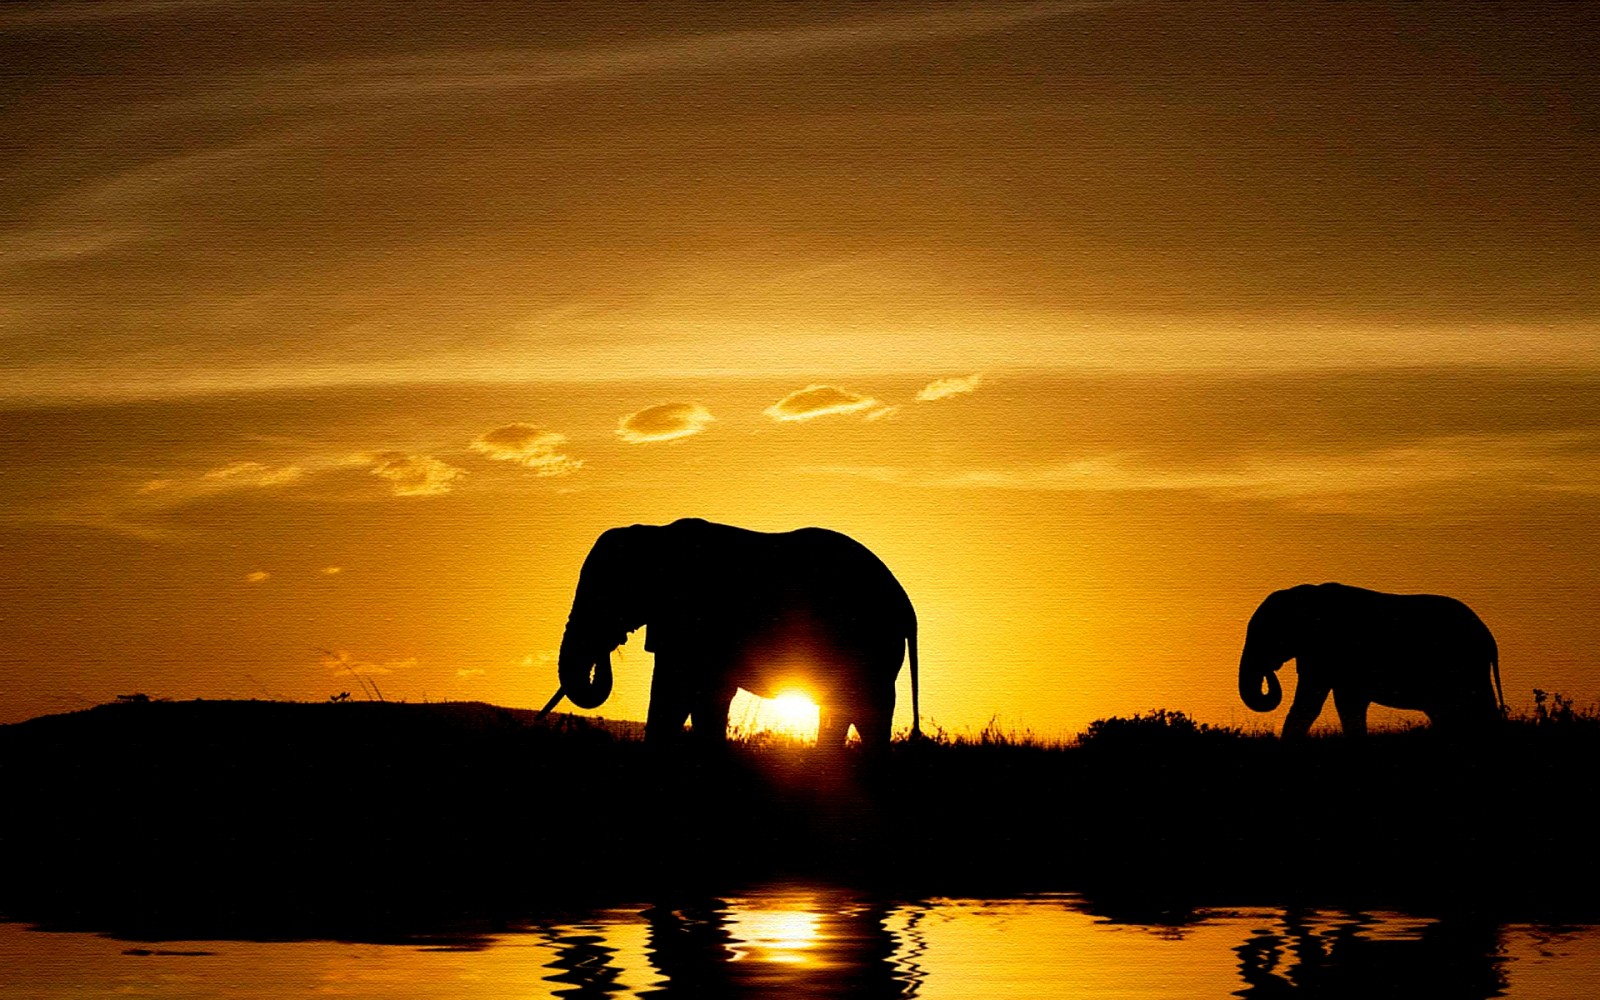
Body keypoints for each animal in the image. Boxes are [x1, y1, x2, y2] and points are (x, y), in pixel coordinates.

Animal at [551, 518, 920, 748]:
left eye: (608, 594)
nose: (609, 646)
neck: (656, 535)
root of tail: (905, 604)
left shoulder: (696, 618)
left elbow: (677, 692)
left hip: (871, 644)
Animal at [1238, 583, 1504, 739]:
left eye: (1267, 635)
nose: (1269, 671)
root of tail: (1489, 638)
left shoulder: (1329, 650)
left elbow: (1320, 703)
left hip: (1467, 665)